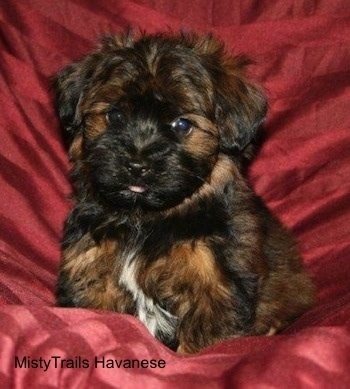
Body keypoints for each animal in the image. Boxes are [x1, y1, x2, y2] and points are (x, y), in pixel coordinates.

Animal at [54, 31, 314, 354]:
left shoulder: (214, 285)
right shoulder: (91, 274)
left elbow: (203, 342)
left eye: (182, 124)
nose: (137, 165)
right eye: (115, 116)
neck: (146, 220)